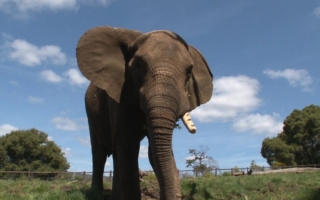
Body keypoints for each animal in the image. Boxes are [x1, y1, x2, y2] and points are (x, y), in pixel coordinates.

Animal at [76, 25, 214, 199]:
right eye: (138, 66)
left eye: (189, 73)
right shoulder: (119, 95)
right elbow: (128, 145)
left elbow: (154, 151)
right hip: (91, 113)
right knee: (99, 153)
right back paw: (96, 194)